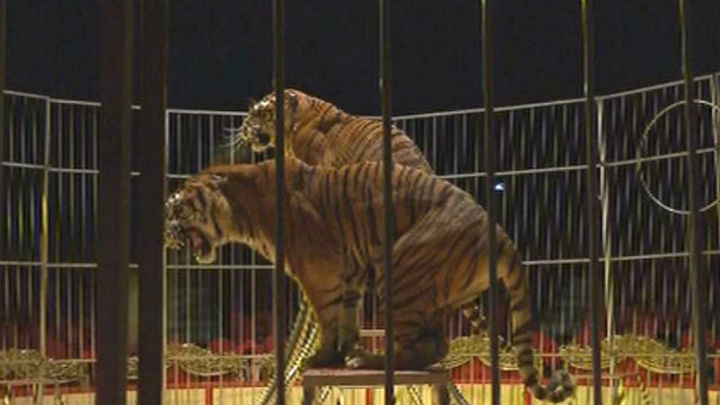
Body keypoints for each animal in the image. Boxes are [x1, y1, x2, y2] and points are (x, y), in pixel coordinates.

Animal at [164, 157, 576, 402]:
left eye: (178, 205)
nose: (167, 234)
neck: (243, 212)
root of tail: (501, 233)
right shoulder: (345, 278)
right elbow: (346, 319)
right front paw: (339, 352)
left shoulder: (320, 272)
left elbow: (328, 320)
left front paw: (325, 356)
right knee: (435, 347)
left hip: (402, 269)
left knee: (418, 351)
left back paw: (366, 360)